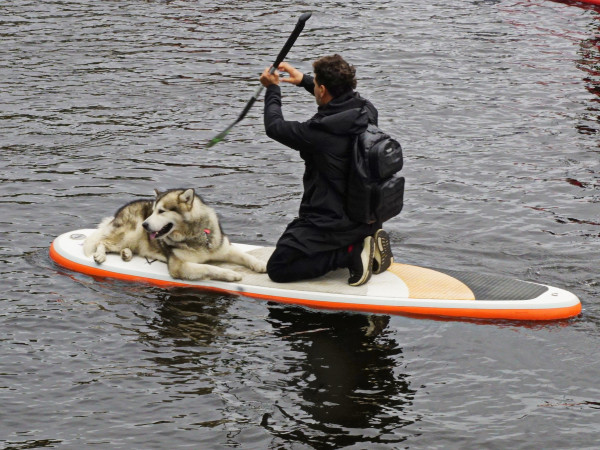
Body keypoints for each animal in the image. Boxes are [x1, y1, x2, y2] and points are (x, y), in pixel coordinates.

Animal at [82, 189, 268, 282]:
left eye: (161, 211)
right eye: (153, 210)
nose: (145, 225)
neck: (195, 236)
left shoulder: (224, 248)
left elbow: (244, 255)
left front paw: (259, 264)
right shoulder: (180, 267)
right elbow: (209, 268)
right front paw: (230, 274)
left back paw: (126, 253)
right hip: (129, 234)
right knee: (103, 242)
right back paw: (100, 254)